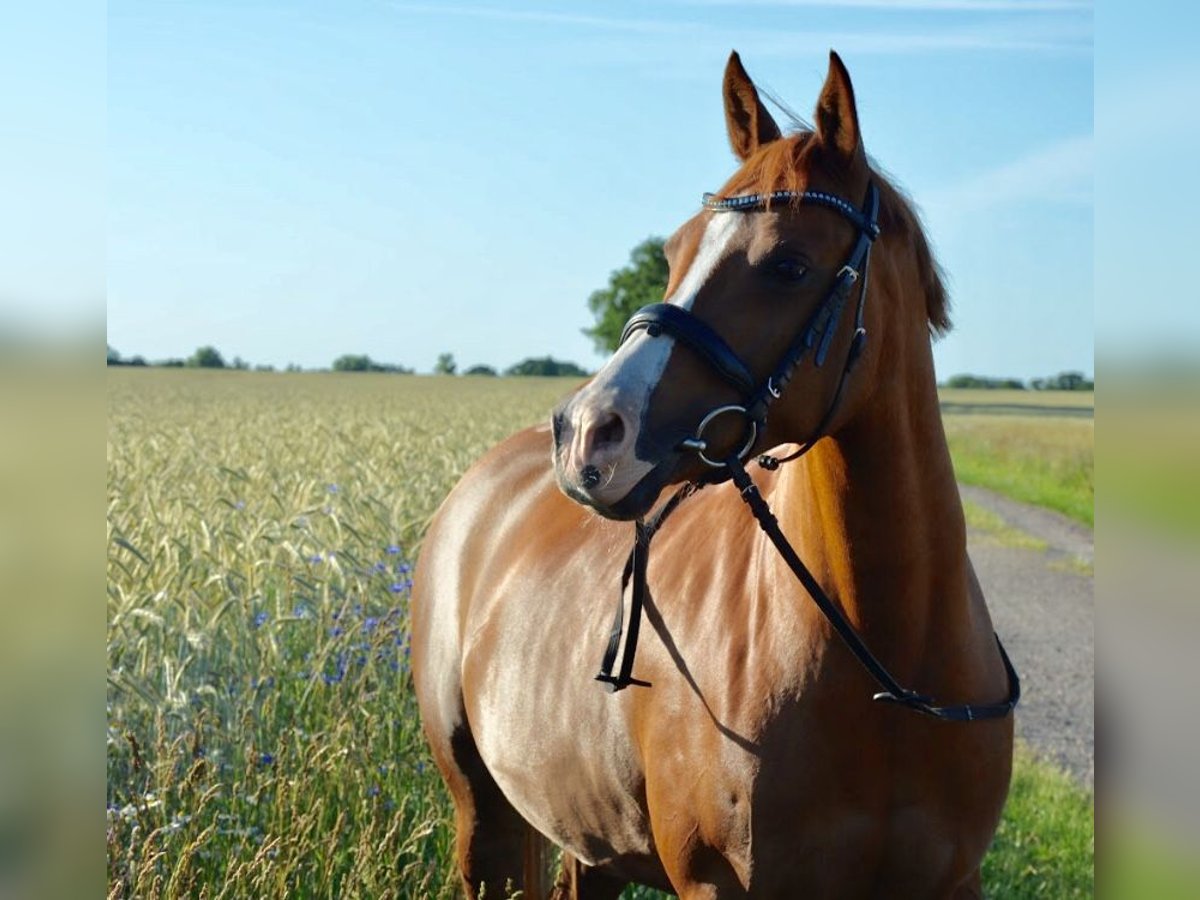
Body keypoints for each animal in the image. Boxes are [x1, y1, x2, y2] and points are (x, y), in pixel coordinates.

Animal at [410, 51, 1012, 900]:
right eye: (675, 250)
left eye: (789, 264)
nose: (587, 432)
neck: (885, 667)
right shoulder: (717, 883)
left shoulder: (953, 882)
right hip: (482, 818)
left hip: (589, 841)